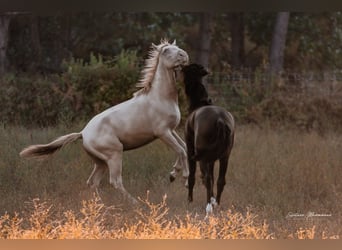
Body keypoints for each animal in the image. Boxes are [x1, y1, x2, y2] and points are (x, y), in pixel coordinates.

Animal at [19, 39, 190, 203]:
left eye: (178, 48)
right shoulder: (162, 132)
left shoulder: (171, 130)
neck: (160, 97)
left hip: (100, 161)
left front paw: (174, 174)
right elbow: (181, 150)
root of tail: (83, 133)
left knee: (92, 182)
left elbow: (184, 147)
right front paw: (185, 178)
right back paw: (135, 203)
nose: (184, 56)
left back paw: (99, 206)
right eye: (166, 51)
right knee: (115, 181)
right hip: (114, 155)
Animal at [182, 63, 235, 212]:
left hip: (203, 157)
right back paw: (216, 203)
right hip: (224, 157)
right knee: (219, 180)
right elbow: (212, 175)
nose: (180, 66)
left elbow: (192, 176)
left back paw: (208, 205)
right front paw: (212, 199)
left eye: (187, 68)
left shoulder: (190, 149)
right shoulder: (212, 159)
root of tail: (220, 120)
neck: (200, 103)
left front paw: (189, 200)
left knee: (207, 179)